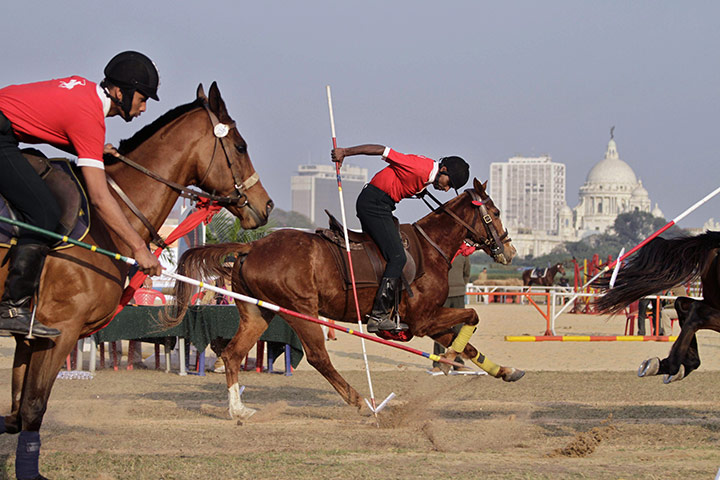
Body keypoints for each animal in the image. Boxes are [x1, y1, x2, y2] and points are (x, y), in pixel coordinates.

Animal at [0, 82, 273, 477]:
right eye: (240, 146)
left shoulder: (30, 337)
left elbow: (17, 411)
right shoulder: (59, 331)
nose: (265, 205)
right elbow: (33, 408)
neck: (105, 221)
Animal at [167, 178, 523, 420]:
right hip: (300, 310)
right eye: (495, 212)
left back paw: (239, 410)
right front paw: (450, 358)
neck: (431, 247)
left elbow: (471, 342)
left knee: (232, 354)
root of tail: (251, 246)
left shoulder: (430, 319)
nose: (510, 251)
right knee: (318, 357)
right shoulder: (424, 320)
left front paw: (504, 370)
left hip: (259, 313)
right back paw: (359, 400)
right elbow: (472, 316)